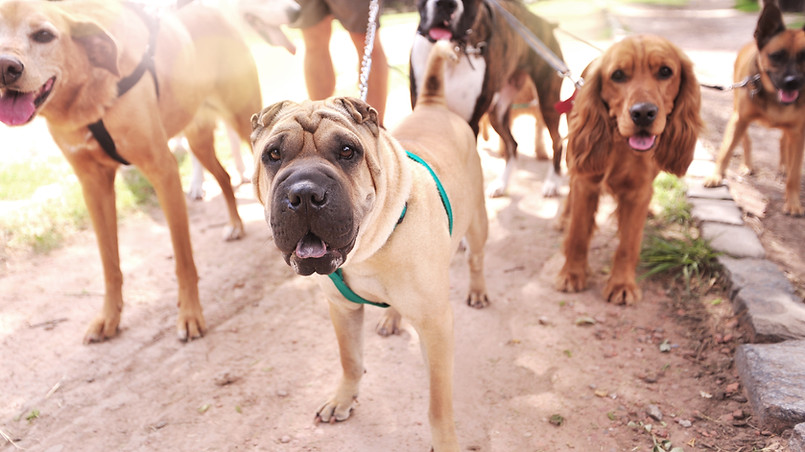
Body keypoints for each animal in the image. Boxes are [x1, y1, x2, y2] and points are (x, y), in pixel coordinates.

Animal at [0, 0, 260, 342]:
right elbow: (110, 265)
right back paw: (235, 224)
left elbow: (183, 261)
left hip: (247, 125)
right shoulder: (93, 186)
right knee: (225, 177)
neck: (89, 96)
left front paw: (190, 314)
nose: (5, 68)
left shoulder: (163, 170)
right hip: (198, 141)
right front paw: (109, 317)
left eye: (44, 35)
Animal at [251, 40, 490, 450]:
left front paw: (444, 441)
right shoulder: (342, 309)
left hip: (477, 223)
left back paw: (477, 290)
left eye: (347, 151)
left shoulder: (436, 326)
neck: (371, 248)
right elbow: (350, 360)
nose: (304, 194)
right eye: (273, 155)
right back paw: (392, 316)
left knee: (476, 258)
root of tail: (434, 105)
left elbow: (438, 402)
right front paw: (343, 398)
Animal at [412, 0, 564, 198]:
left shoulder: (470, 125)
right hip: (497, 114)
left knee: (557, 141)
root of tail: (545, 23)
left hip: (547, 103)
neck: (453, 50)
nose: (446, 4)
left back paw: (552, 182)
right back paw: (502, 184)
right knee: (512, 145)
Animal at [556, 34, 700, 304]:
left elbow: (628, 244)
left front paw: (622, 284)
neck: (621, 144)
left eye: (665, 71)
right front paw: (572, 274)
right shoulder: (586, 182)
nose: (643, 113)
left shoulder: (638, 192)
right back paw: (563, 219)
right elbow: (578, 234)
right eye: (618, 75)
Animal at [700, 1, 804, 217]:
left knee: (783, 143)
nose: (792, 82)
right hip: (740, 117)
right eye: (776, 56)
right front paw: (715, 176)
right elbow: (724, 152)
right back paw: (747, 165)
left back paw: (783, 167)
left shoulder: (798, 132)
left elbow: (795, 173)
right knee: (746, 141)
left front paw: (793, 203)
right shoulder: (739, 119)